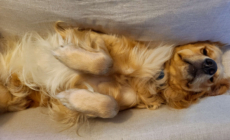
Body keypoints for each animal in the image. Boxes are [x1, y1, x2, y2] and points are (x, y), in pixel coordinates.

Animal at [0, 21, 229, 127]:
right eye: (205, 51)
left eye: (212, 80)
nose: (211, 66)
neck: (154, 78)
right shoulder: (97, 37)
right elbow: (105, 61)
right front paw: (63, 53)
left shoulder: (123, 100)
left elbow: (112, 106)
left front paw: (71, 98)